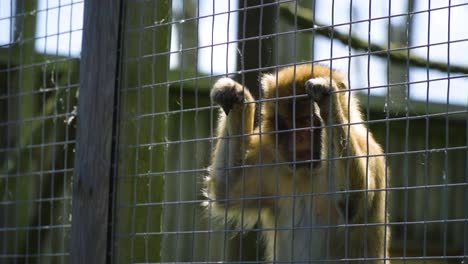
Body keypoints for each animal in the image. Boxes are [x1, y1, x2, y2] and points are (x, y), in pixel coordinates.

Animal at [206, 63, 392, 262]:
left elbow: (351, 202)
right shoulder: (269, 157)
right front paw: (237, 96)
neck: (308, 170)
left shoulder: (368, 150)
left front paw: (328, 99)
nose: (298, 137)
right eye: (288, 123)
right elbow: (227, 190)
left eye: (307, 120)